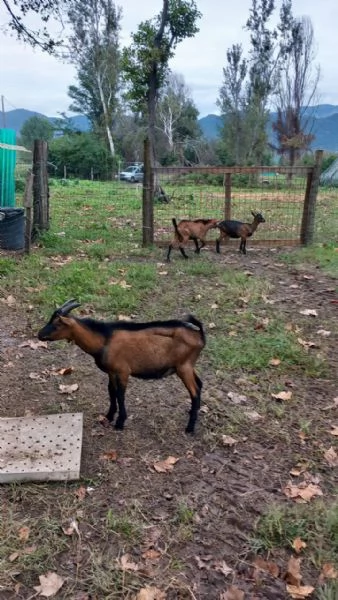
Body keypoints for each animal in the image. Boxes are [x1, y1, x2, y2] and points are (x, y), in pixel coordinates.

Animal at [37, 302, 206, 434]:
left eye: (57, 324)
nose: (39, 335)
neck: (104, 340)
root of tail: (200, 335)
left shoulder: (123, 371)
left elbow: (120, 394)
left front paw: (120, 422)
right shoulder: (112, 372)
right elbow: (111, 391)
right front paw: (109, 416)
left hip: (183, 367)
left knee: (195, 391)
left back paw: (190, 428)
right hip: (189, 366)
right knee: (200, 384)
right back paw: (193, 411)